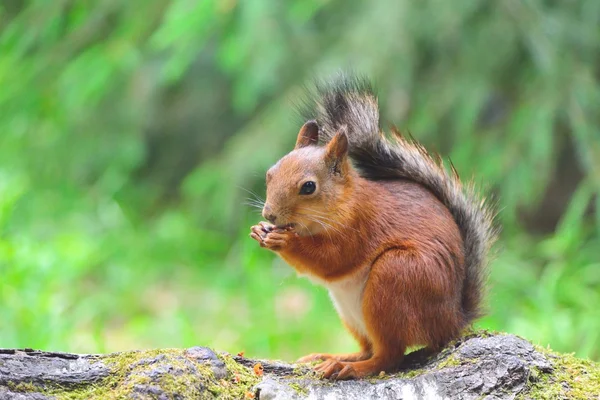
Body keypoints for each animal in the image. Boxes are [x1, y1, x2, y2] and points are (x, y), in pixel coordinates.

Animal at [248, 76, 496, 382]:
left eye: (308, 187)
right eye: (270, 173)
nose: (269, 213)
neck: (342, 202)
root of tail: (454, 320)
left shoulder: (360, 226)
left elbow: (331, 259)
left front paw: (285, 241)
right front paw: (260, 230)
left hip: (396, 278)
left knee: (387, 356)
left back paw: (349, 367)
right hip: (351, 312)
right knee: (368, 348)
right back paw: (333, 357)